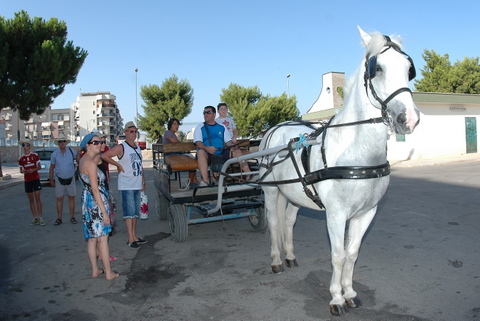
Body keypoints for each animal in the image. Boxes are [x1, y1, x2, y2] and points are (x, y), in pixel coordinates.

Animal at [258, 25, 420, 316]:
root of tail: (274, 129)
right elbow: (338, 254)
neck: (356, 154)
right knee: (275, 222)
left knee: (288, 221)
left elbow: (352, 253)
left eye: (408, 68)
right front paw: (336, 298)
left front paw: (350, 293)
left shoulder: (367, 212)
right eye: (377, 69)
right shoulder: (336, 214)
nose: (408, 119)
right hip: (271, 191)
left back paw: (290, 256)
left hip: (295, 195)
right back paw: (276, 260)